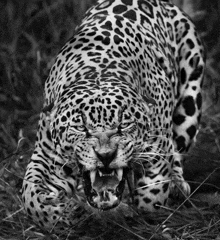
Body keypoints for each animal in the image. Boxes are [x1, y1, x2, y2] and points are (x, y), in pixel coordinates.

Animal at [21, 0, 205, 231]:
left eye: (123, 125)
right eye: (81, 127)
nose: (106, 156)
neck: (97, 72)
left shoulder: (156, 152)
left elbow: (152, 194)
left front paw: (138, 214)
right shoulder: (47, 156)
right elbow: (30, 193)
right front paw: (62, 213)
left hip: (190, 99)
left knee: (178, 151)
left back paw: (177, 187)